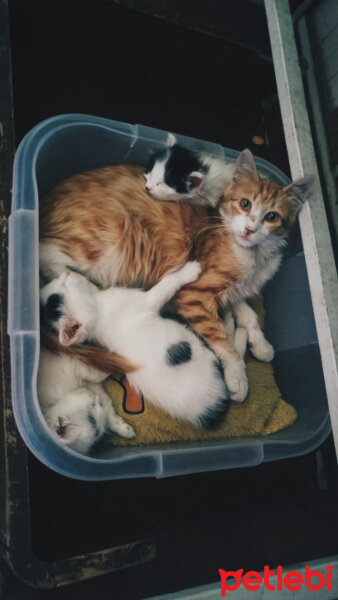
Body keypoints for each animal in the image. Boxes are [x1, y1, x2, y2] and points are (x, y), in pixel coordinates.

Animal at [39, 264, 230, 428]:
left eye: (59, 283)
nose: (66, 273)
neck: (98, 311)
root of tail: (213, 412)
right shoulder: (147, 300)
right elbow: (167, 283)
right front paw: (191, 269)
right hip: (207, 356)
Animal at [40, 149, 314, 404]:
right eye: (245, 204)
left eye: (271, 217)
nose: (249, 230)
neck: (254, 257)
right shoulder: (196, 294)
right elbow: (222, 338)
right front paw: (238, 377)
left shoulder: (237, 289)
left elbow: (249, 315)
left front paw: (262, 345)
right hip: (106, 248)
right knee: (52, 264)